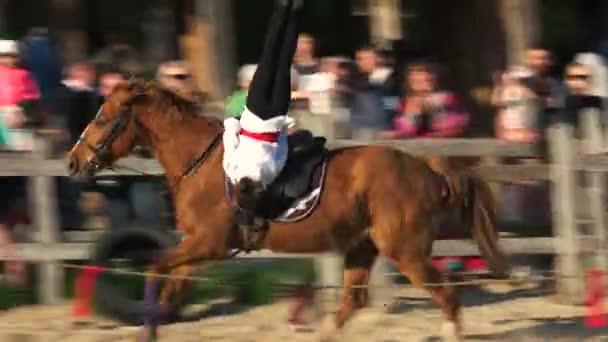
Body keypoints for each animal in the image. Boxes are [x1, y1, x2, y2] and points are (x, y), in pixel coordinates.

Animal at [66, 80, 508, 340]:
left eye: (103, 118)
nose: (73, 162)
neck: (201, 161)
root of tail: (423, 167)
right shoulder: (196, 248)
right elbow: (170, 283)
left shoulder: (208, 243)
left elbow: (156, 268)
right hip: (362, 248)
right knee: (353, 301)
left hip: (406, 251)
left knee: (446, 295)